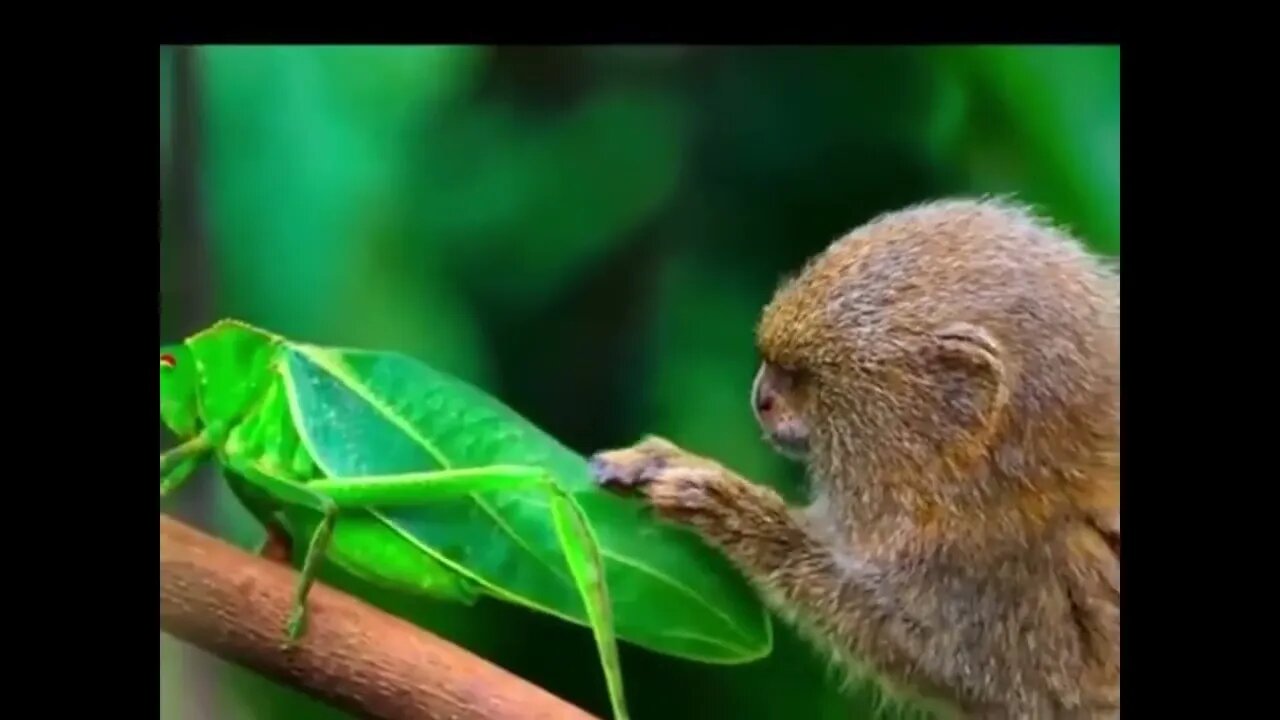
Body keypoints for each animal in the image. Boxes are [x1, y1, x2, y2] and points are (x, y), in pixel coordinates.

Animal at [588, 197, 1121, 717]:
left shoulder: (994, 576)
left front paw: (734, 510)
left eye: (803, 379)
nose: (762, 396)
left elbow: (947, 666)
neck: (1020, 476)